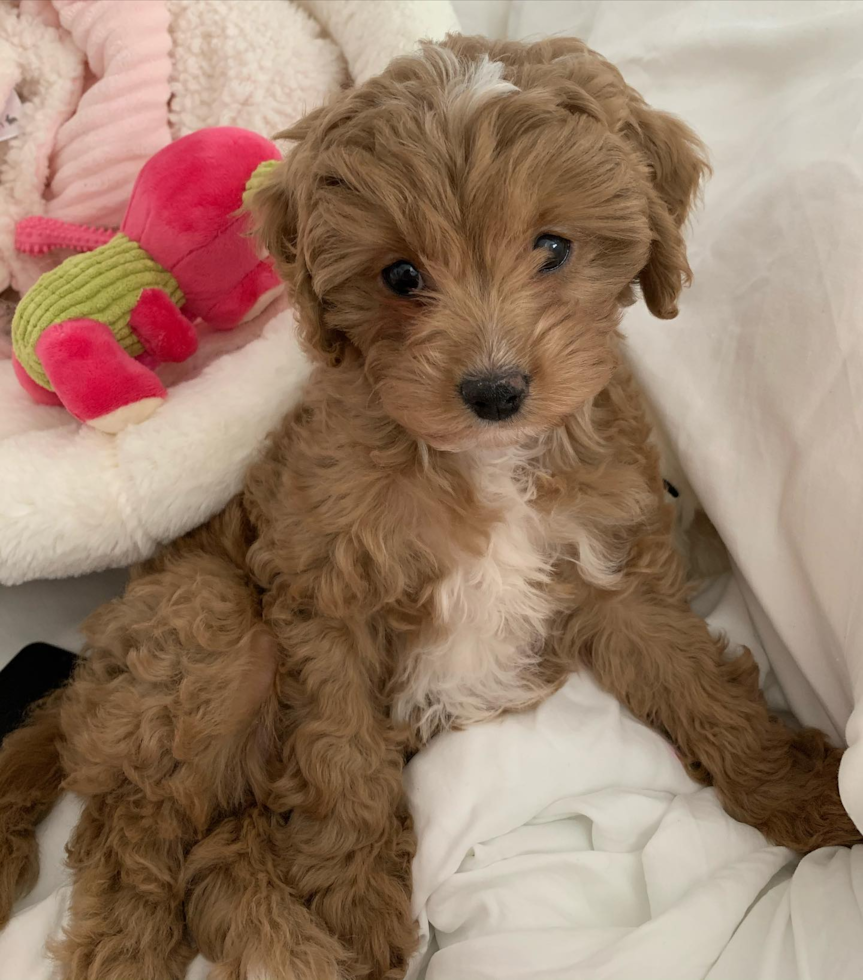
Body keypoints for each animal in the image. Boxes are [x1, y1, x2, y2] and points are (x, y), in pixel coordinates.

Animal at [0, 34, 856, 980]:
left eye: (552, 246)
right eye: (400, 274)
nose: (494, 390)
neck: (483, 461)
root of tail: (80, 687)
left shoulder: (613, 570)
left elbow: (701, 687)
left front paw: (807, 798)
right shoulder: (326, 598)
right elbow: (342, 761)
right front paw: (357, 911)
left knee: (220, 859)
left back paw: (287, 945)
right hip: (201, 637)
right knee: (137, 829)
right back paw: (137, 949)